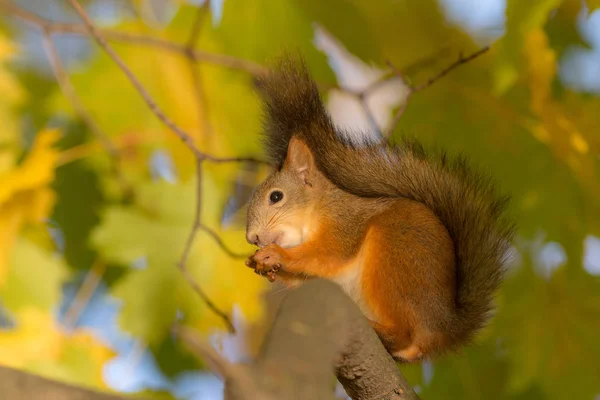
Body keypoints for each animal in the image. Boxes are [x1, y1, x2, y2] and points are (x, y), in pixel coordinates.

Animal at [244, 56, 516, 362]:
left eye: (276, 197)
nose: (252, 237)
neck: (317, 210)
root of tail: (444, 327)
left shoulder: (345, 222)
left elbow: (328, 254)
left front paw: (276, 254)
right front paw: (262, 264)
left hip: (393, 257)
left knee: (405, 335)